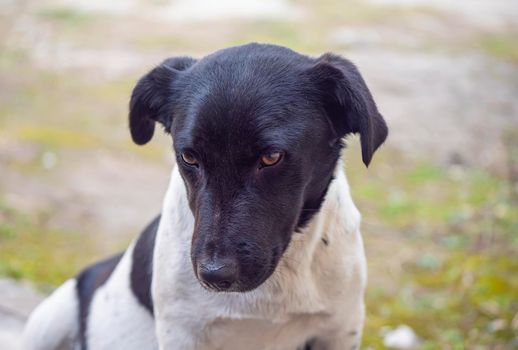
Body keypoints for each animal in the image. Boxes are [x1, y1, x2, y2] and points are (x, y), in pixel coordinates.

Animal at [25, 42, 390, 348]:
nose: (214, 275)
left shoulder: (339, 328)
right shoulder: (182, 333)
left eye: (272, 157)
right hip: (48, 318)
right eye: (189, 156)